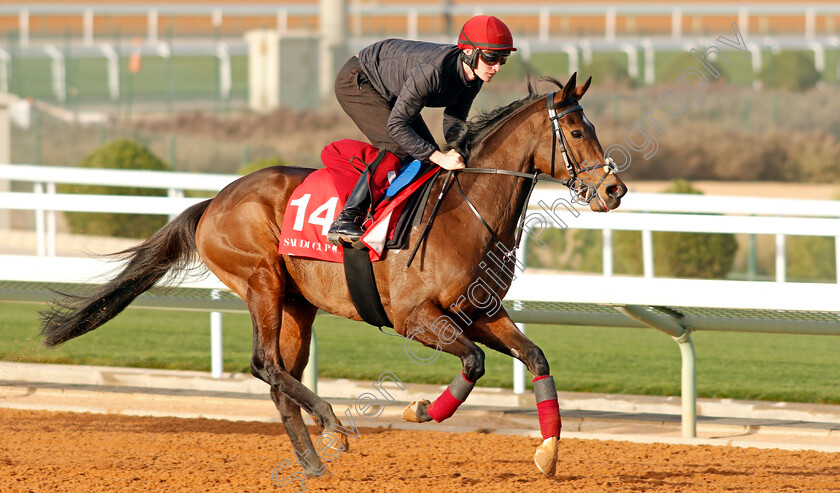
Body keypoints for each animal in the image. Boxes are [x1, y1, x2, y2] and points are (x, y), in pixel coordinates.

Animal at [42, 75, 628, 478]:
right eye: (578, 130)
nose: (614, 189)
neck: (468, 211)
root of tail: (215, 202)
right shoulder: (415, 318)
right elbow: (474, 363)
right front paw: (420, 409)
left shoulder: (480, 312)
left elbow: (536, 357)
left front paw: (548, 453)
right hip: (262, 282)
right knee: (264, 364)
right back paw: (333, 425)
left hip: (298, 305)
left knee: (280, 376)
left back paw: (313, 460)